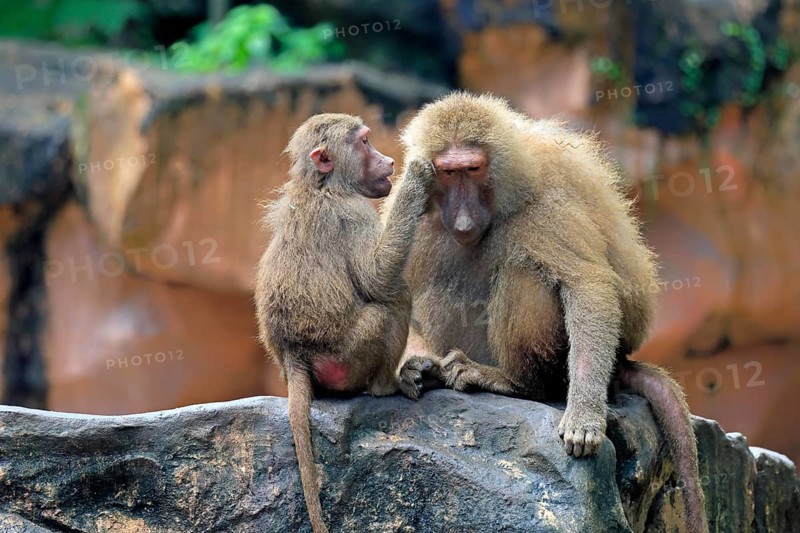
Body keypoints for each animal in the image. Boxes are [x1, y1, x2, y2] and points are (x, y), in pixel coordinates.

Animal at [254, 113, 435, 533]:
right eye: (365, 142)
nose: (388, 160)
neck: (322, 186)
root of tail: (295, 356)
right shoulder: (353, 212)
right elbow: (377, 278)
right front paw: (416, 180)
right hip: (349, 356)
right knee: (392, 301)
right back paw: (390, 386)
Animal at [387, 92, 708, 533]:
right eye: (448, 172)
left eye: (473, 168)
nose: (464, 219)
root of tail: (622, 361)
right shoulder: (415, 206)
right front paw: (414, 368)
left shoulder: (545, 205)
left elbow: (587, 285)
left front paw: (584, 419)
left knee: (525, 272)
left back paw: (517, 383)